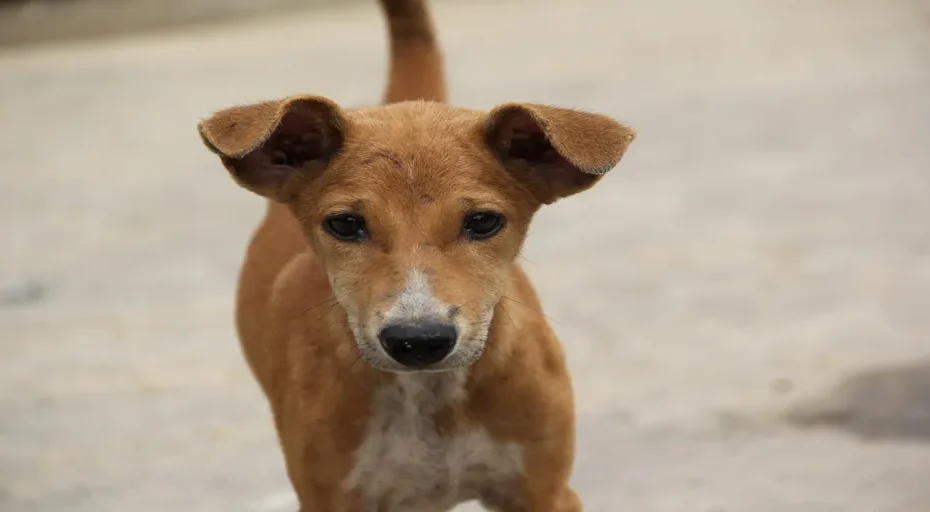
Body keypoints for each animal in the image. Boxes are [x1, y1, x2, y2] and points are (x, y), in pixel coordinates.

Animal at [196, 2, 632, 510]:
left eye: (483, 221)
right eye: (345, 224)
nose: (419, 340)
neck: (430, 396)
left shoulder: (547, 492)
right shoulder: (329, 498)